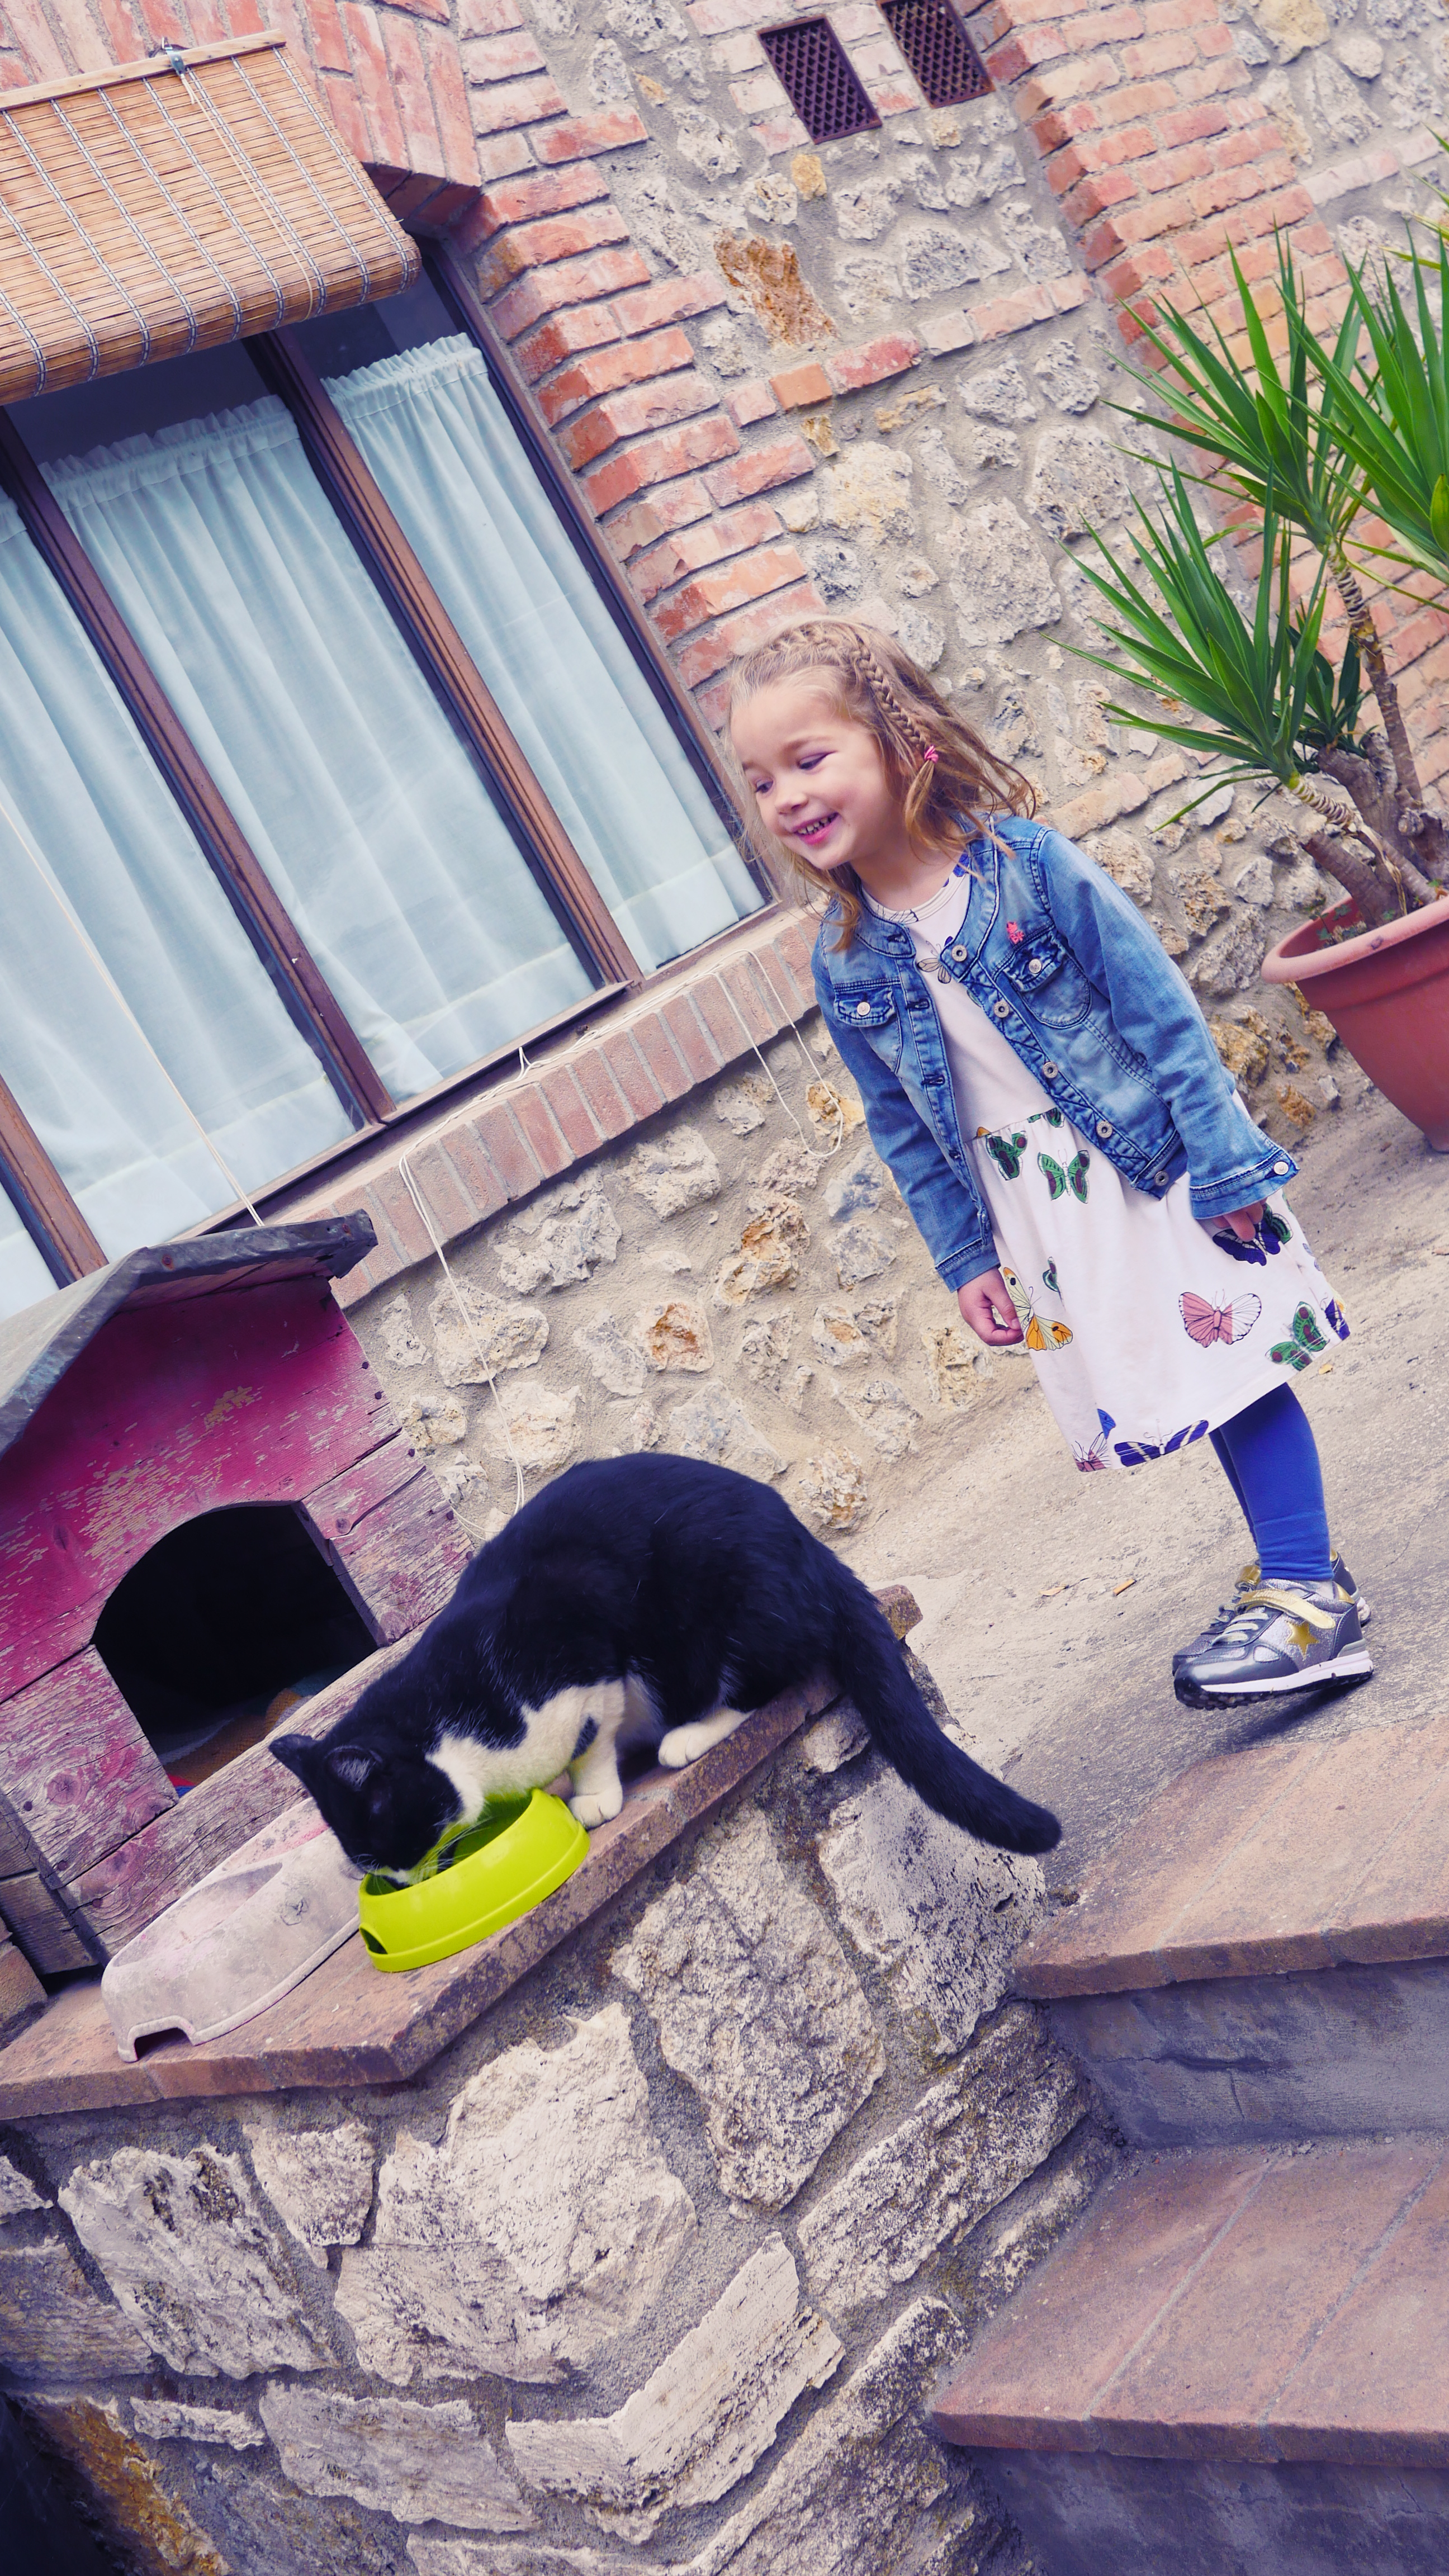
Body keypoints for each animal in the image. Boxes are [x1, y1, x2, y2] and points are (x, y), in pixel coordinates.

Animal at [269, 1452, 1060, 1874]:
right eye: (367, 1865)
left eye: (380, 1844)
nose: (402, 1882)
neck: (454, 1732)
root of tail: (810, 1544)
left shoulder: (578, 1632)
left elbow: (590, 1734)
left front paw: (592, 1793)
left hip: (721, 1589)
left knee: (762, 1684)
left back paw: (686, 1736)